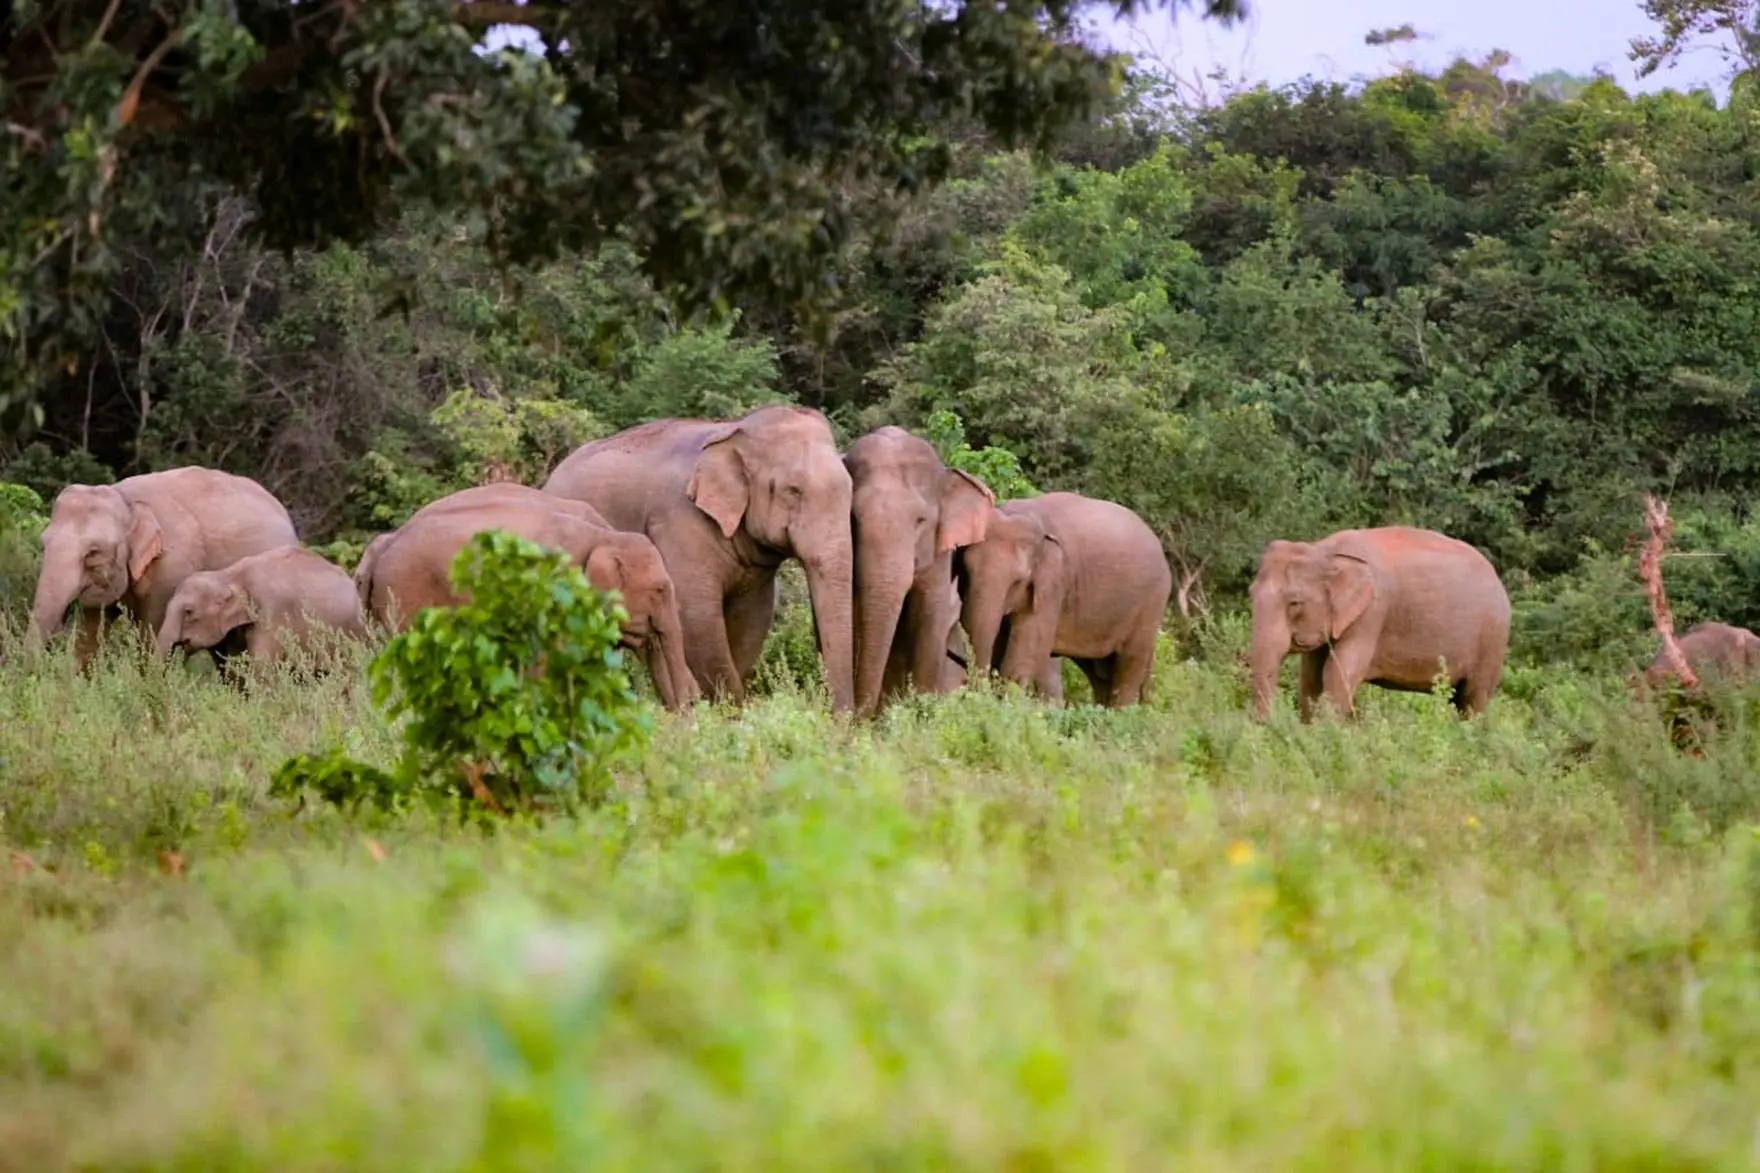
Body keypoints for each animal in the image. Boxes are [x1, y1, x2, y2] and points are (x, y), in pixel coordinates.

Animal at [31, 466, 300, 667]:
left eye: (93, 552)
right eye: (43, 544)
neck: (126, 501)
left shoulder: (171, 569)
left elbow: (151, 634)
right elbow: (91, 631)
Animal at [542, 404, 855, 713]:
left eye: (850, 491)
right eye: (793, 490)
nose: (837, 718)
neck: (733, 430)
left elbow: (752, 617)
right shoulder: (680, 523)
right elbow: (695, 614)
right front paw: (728, 712)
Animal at [958, 491, 1172, 708]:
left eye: (1018, 581)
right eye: (965, 569)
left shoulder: (1055, 585)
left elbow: (1026, 650)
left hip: (1152, 602)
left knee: (1129, 664)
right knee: (1101, 672)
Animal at [1248, 525, 1511, 721]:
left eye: (1295, 603)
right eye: (1250, 593)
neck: (1325, 552)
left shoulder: (1372, 613)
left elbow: (1337, 674)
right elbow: (1311, 676)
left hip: (1492, 640)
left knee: (1473, 699)